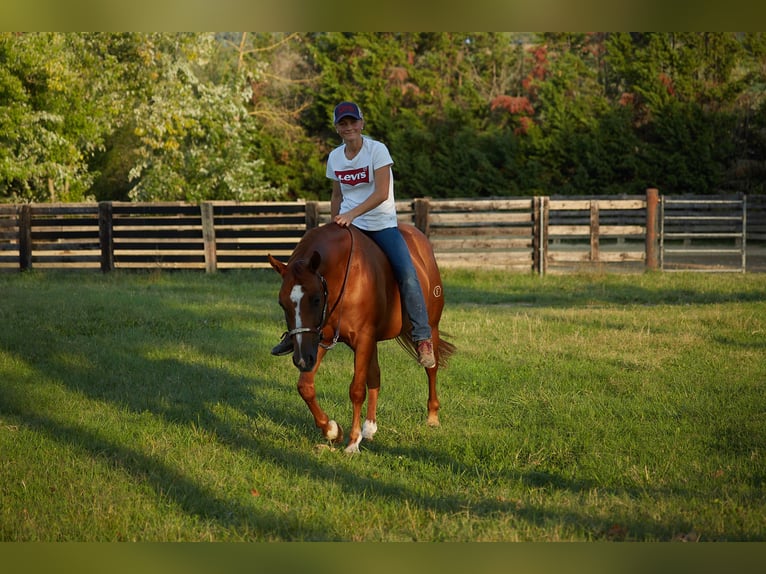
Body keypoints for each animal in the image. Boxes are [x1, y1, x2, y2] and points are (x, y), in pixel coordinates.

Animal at [267, 222, 455, 453]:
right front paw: (332, 430)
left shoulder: (361, 339)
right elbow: (305, 387)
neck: (342, 275)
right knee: (375, 376)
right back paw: (370, 428)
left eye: (316, 299)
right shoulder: (321, 339)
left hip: (432, 327)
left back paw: (432, 417)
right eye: (282, 303)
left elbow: (356, 390)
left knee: (432, 368)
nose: (301, 359)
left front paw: (352, 442)